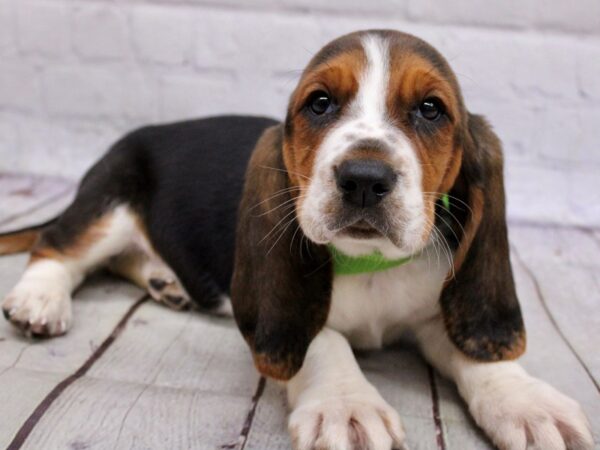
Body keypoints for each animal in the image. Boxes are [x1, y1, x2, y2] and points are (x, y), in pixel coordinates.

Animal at [0, 29, 592, 448]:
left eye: (430, 109)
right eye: (320, 103)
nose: (364, 178)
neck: (369, 263)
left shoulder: (436, 310)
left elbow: (478, 353)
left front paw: (528, 403)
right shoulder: (289, 314)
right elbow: (320, 338)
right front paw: (346, 406)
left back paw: (163, 280)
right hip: (114, 200)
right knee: (57, 243)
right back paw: (40, 300)